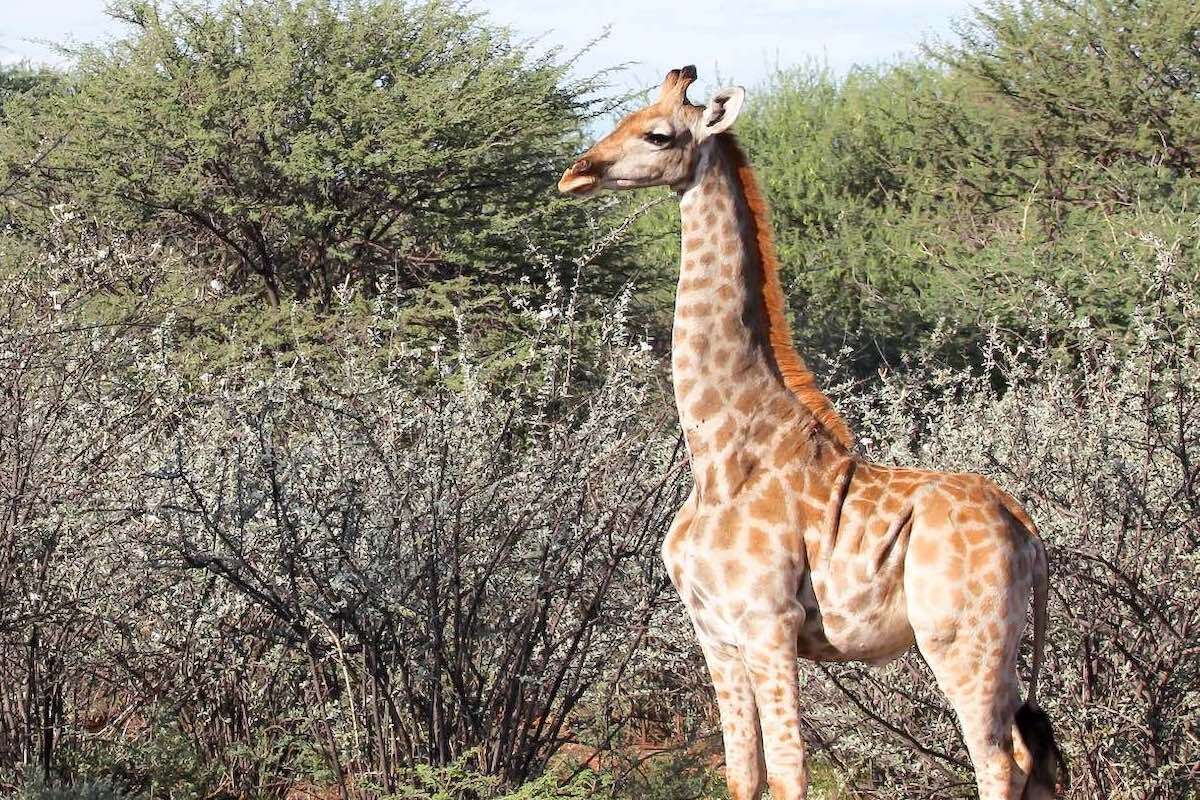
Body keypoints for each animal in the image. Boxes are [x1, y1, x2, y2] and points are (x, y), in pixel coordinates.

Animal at [558, 66, 1064, 800]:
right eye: (624, 117)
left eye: (659, 134)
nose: (575, 174)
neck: (721, 456)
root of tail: (1027, 530)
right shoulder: (715, 633)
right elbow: (744, 774)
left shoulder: (769, 625)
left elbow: (789, 773)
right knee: (1036, 760)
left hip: (961, 639)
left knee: (999, 761)